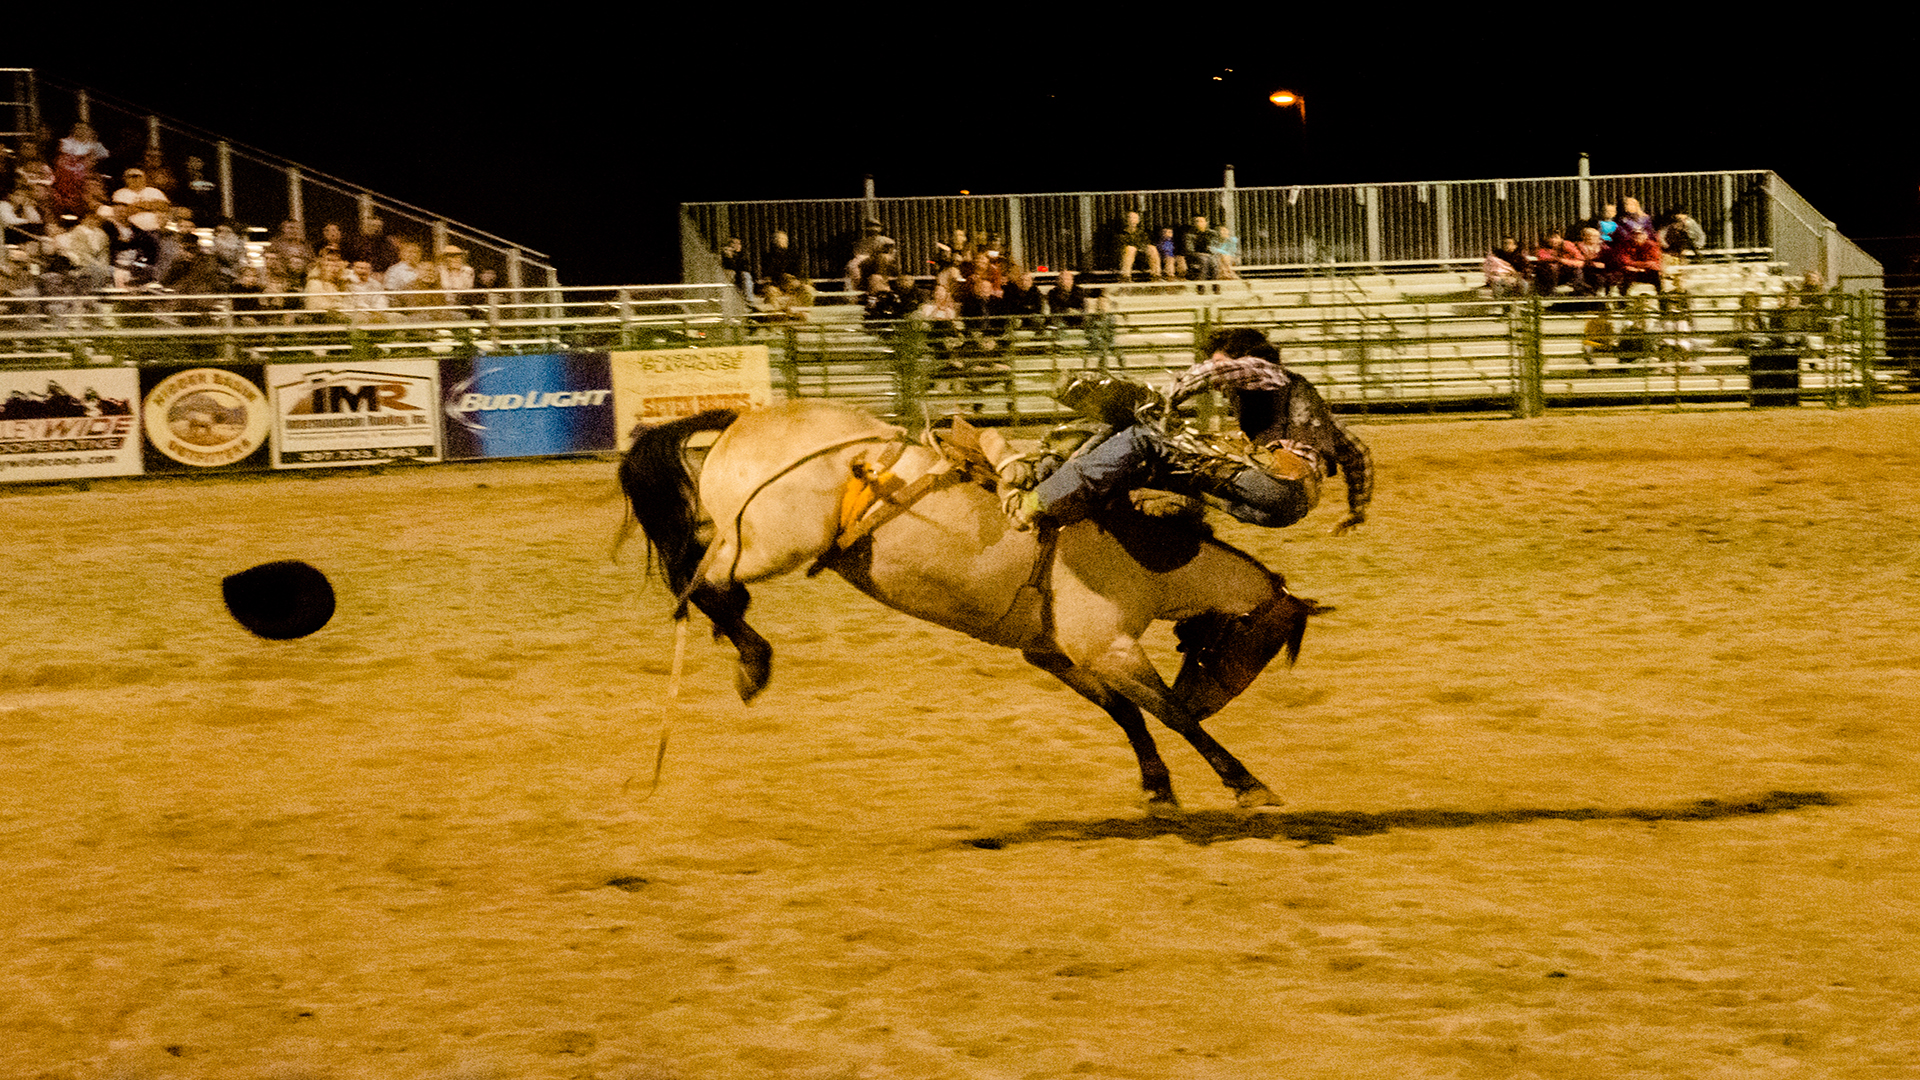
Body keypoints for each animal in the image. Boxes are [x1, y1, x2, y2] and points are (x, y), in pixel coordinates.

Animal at [622, 399, 1328, 803]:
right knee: (702, 582)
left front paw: (1157, 788)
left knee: (700, 580)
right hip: (773, 543)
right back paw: (753, 659)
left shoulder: (1055, 652)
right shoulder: (1107, 644)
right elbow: (1171, 713)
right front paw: (1247, 784)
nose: (1216, 695)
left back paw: (742, 649)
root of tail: (742, 417)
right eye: (1260, 647)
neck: (1153, 557)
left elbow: (1126, 713)